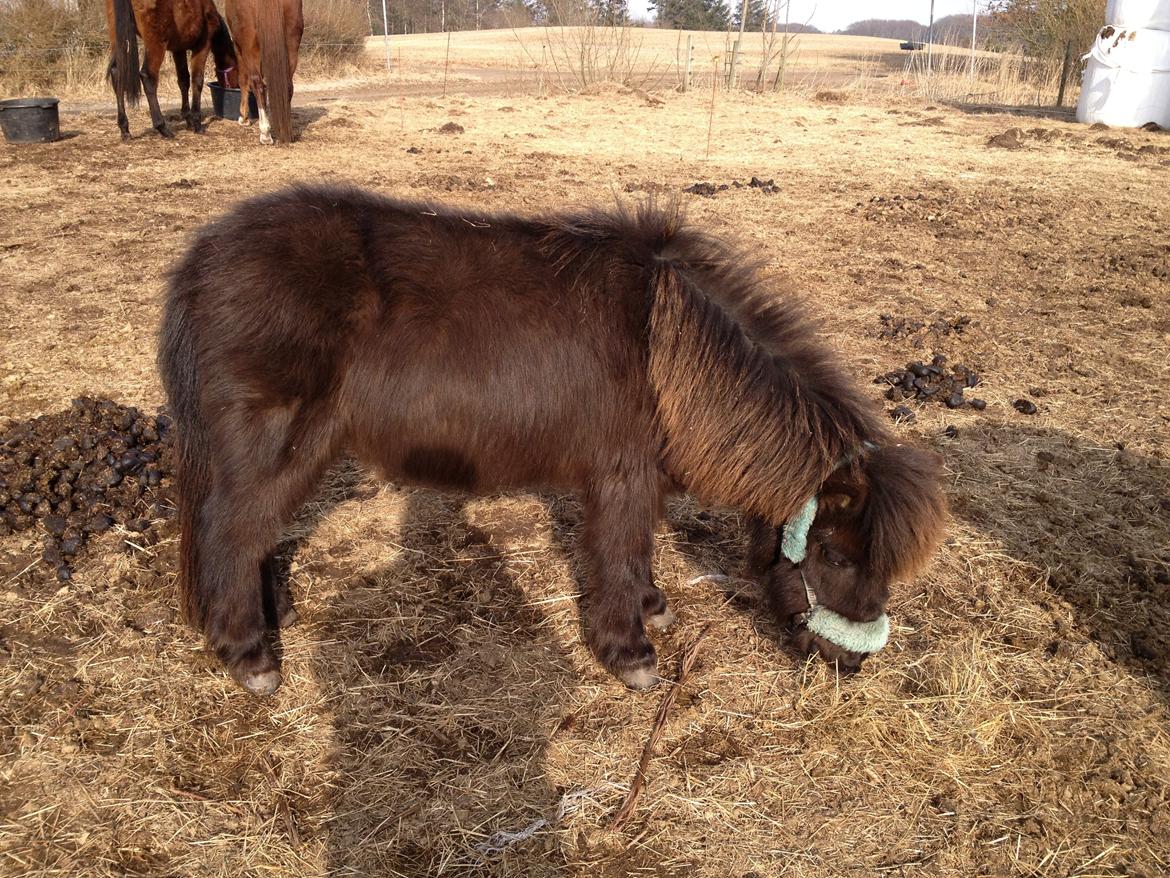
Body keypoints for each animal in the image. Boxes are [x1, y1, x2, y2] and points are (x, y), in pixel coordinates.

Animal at [105, 0, 239, 138]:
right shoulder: (203, 46)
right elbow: (197, 81)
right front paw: (197, 123)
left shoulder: (178, 49)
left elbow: (183, 81)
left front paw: (188, 119)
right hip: (156, 44)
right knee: (148, 76)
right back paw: (162, 128)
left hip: (118, 38)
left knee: (116, 73)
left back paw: (124, 129)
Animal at [160, 186, 945, 702]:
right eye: (836, 555)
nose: (851, 665)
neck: (669, 349)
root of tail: (201, 259)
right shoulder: (620, 476)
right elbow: (619, 550)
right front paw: (630, 653)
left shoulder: (640, 476)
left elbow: (641, 546)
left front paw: (653, 603)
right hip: (277, 445)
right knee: (231, 532)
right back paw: (251, 656)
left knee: (251, 533)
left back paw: (275, 616)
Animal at [219, 0, 301, 142]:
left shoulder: (239, 48)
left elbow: (244, 80)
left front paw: (243, 118)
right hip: (292, 47)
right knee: (288, 86)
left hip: (251, 50)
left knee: (258, 85)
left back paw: (265, 132)